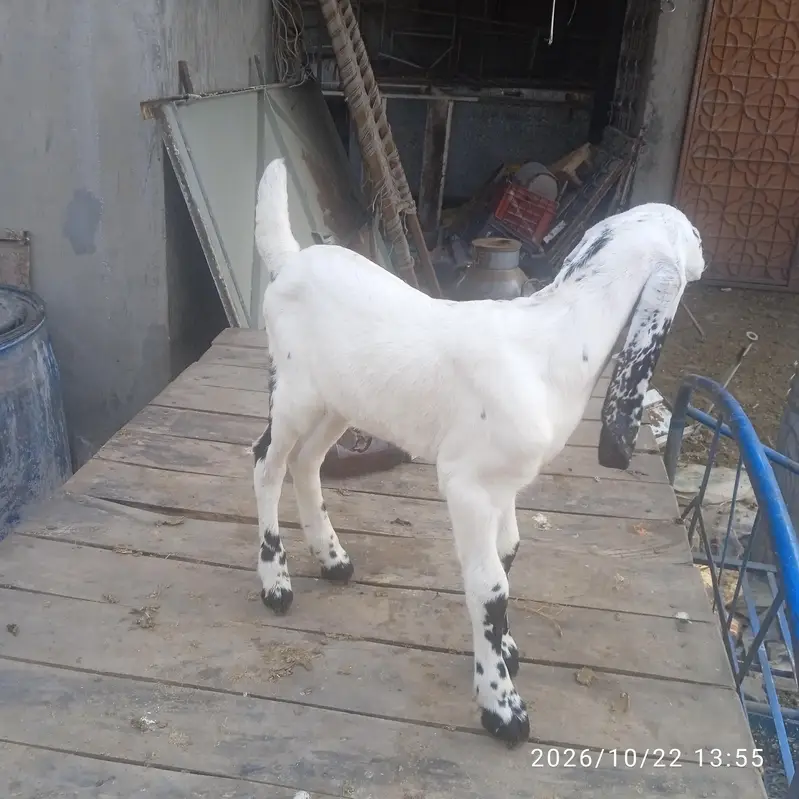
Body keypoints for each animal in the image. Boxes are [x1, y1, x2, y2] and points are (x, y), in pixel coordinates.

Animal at [250, 157, 706, 748]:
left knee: (307, 463)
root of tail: (290, 262)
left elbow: (507, 553)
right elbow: (489, 586)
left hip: (339, 401)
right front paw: (501, 707)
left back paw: (332, 558)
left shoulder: (504, 483)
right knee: (267, 463)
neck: (551, 343)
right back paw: (275, 583)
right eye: (692, 233)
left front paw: (506, 651)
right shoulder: (465, 484)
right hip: (294, 394)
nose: (706, 251)